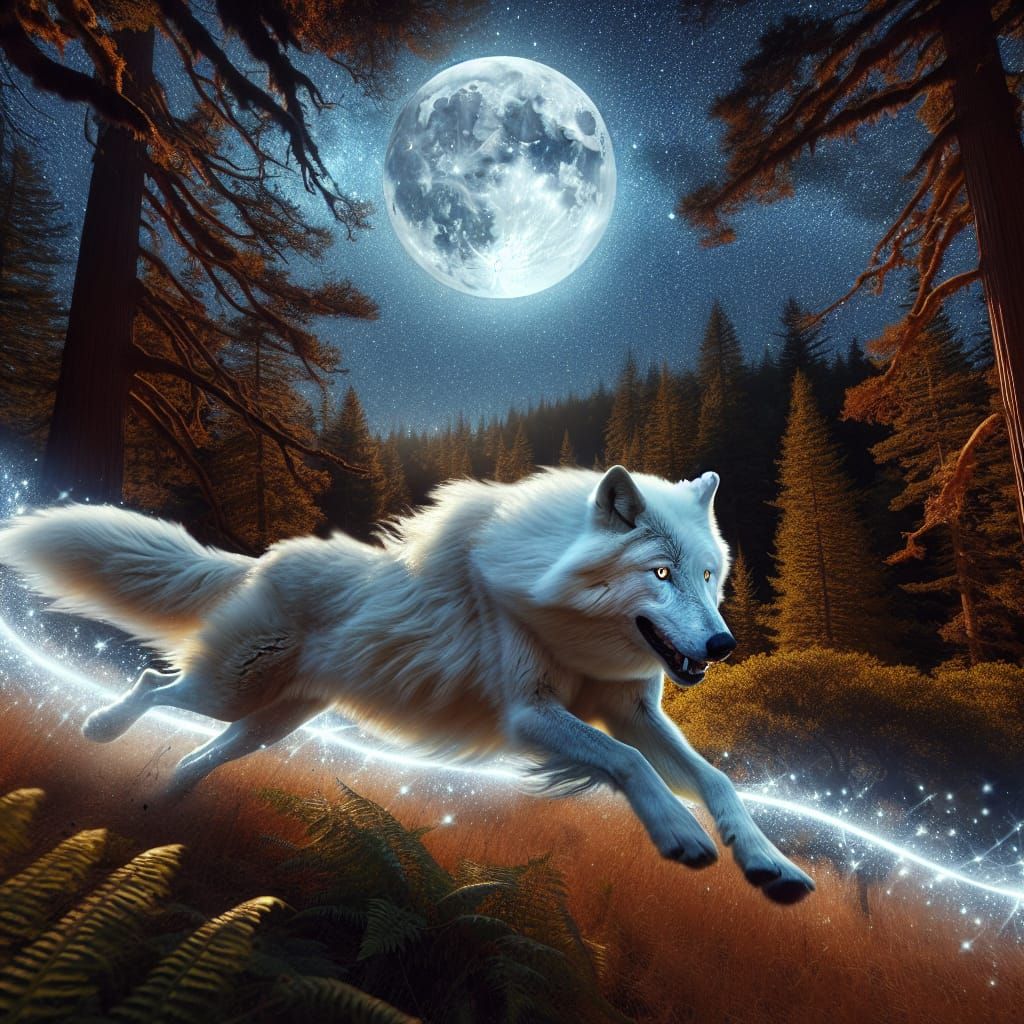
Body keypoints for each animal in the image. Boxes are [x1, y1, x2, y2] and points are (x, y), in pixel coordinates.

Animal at [0, 465, 813, 903]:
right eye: (661, 573)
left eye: (707, 575)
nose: (723, 644)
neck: (563, 619)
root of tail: (261, 558)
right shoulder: (529, 715)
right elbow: (631, 762)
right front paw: (679, 835)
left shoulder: (631, 710)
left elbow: (716, 779)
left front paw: (769, 864)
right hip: (231, 690)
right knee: (152, 681)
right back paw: (102, 730)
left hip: (269, 725)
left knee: (202, 753)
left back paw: (162, 804)